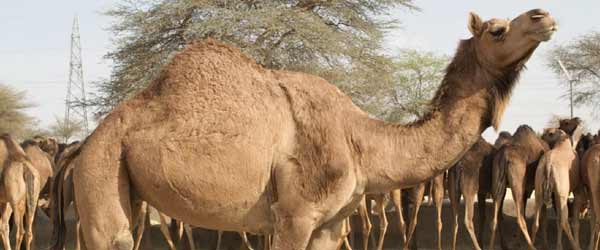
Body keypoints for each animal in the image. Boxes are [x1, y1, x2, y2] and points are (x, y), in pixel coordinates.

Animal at [62, 8, 556, 249]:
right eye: (495, 30)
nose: (543, 16)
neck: (360, 141)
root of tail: (86, 142)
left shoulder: (331, 225)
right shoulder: (294, 216)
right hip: (102, 168)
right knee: (113, 235)